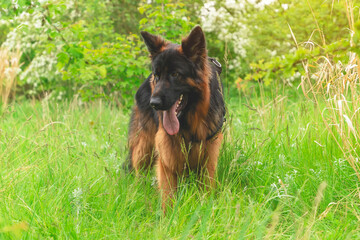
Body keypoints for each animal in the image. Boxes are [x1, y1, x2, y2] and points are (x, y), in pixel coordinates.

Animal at [125, 26, 224, 209]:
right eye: (157, 76)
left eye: (175, 74)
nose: (154, 104)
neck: (191, 122)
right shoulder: (166, 155)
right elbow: (168, 194)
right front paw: (168, 215)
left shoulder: (209, 155)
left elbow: (206, 187)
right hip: (144, 147)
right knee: (138, 172)